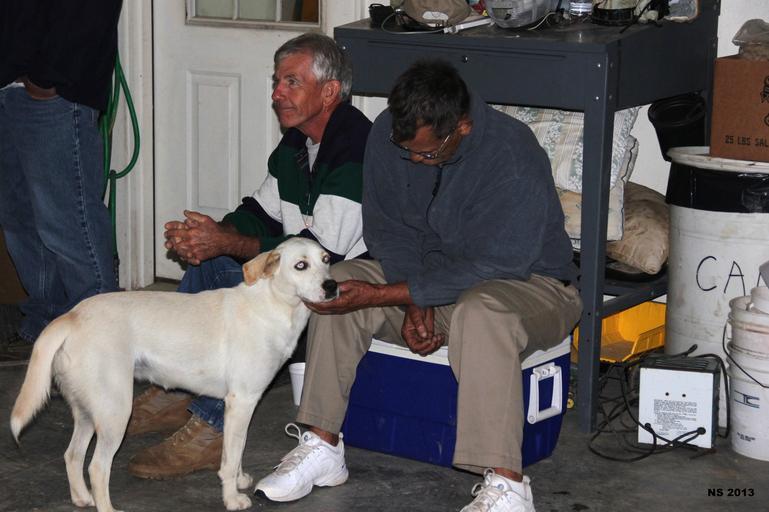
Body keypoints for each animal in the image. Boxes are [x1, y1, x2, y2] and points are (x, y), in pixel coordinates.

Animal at [10, 237, 338, 512]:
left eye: (325, 259)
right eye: (300, 265)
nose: (333, 286)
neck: (273, 305)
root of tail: (72, 315)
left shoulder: (242, 407)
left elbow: (238, 451)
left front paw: (241, 479)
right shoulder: (241, 402)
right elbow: (230, 459)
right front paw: (232, 498)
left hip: (89, 413)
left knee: (73, 455)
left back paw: (81, 498)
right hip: (116, 413)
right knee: (97, 467)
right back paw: (106, 507)